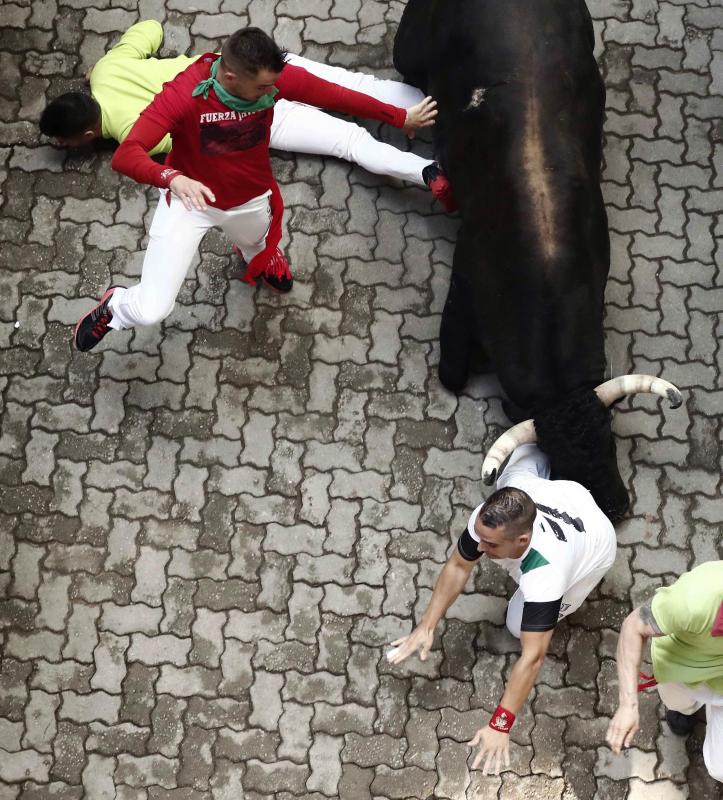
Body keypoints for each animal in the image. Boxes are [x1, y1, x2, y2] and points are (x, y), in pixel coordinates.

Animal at [394, 0, 680, 520]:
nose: (614, 506)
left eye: (609, 439)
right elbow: (451, 374)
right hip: (405, 49)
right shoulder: (462, 292)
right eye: (555, 455)